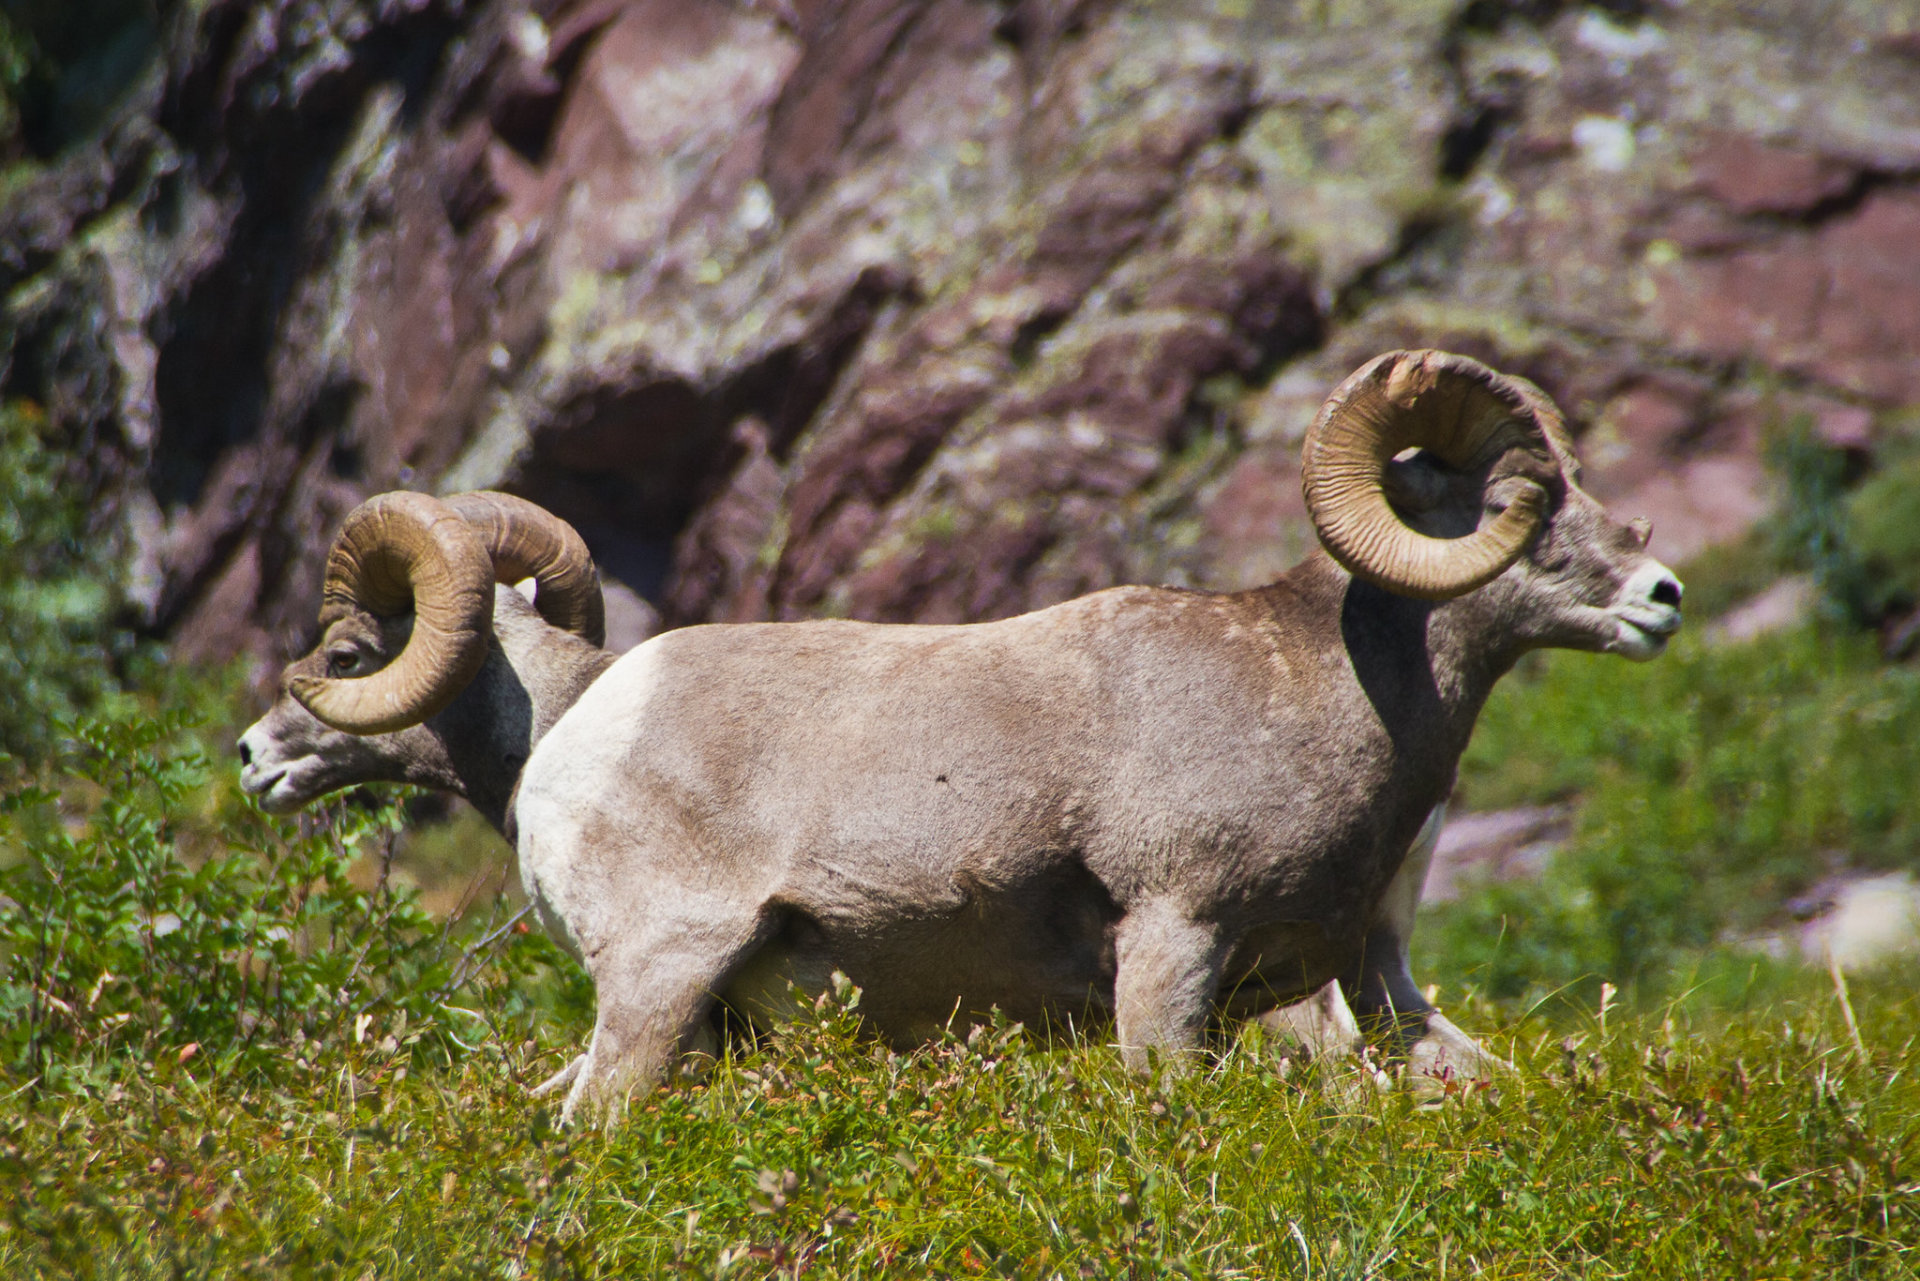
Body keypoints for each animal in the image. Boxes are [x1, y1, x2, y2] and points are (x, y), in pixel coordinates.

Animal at [236, 351, 1681, 1121]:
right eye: (1522, 499)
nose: (1661, 597)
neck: (1328, 685)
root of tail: (583, 742)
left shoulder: (1370, 984)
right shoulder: (1175, 947)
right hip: (654, 991)